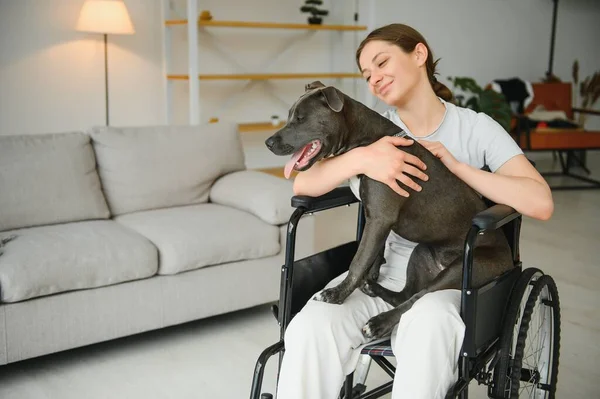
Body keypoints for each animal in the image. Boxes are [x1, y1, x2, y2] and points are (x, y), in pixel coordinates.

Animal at [264, 81, 512, 340]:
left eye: (301, 119)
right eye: (290, 115)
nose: (268, 142)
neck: (366, 140)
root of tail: (511, 261)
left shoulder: (380, 218)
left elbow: (358, 260)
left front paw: (337, 294)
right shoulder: (376, 218)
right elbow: (373, 253)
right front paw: (370, 276)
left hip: (464, 269)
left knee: (417, 298)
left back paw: (378, 323)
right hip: (422, 252)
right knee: (406, 294)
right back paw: (374, 289)